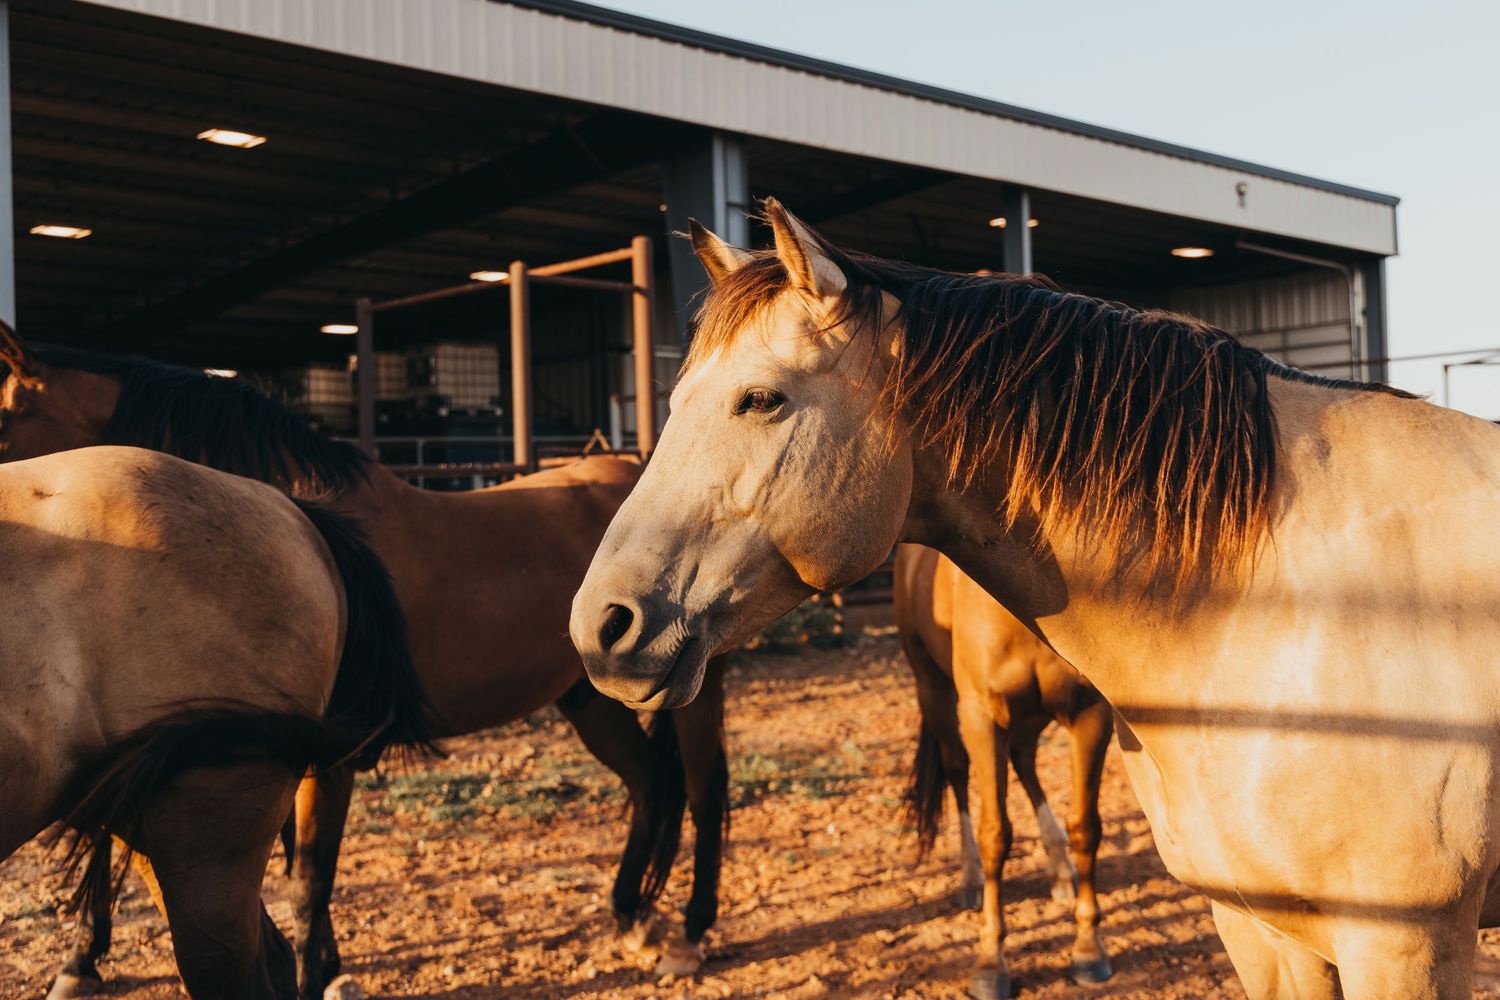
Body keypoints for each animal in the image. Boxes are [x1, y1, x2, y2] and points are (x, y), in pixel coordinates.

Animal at [897, 543, 1113, 997]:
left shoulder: (1091, 713)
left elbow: (1085, 827)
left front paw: (1089, 950)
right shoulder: (983, 717)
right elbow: (995, 835)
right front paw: (990, 964)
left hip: (1032, 717)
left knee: (1024, 760)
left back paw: (1060, 869)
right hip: (935, 693)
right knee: (958, 773)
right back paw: (970, 880)